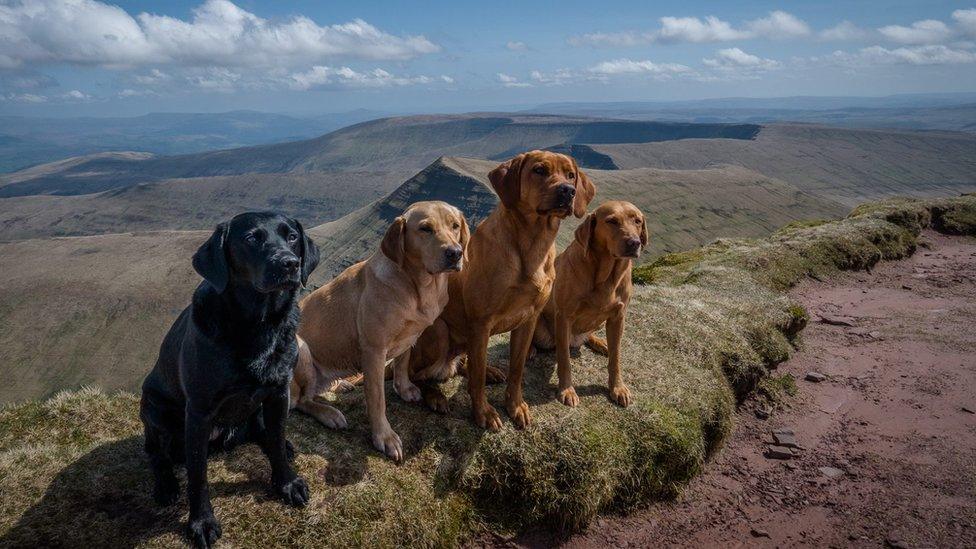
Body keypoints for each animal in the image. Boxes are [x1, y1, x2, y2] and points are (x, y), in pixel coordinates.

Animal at [140, 211, 320, 548]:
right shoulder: (199, 413)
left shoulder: (279, 392)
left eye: (291, 237)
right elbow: (197, 475)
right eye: (251, 238)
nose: (289, 263)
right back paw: (166, 485)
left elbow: (276, 442)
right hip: (154, 409)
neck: (259, 325)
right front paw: (201, 522)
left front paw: (287, 482)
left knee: (265, 432)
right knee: (157, 455)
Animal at [290, 200, 468, 458]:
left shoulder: (409, 336)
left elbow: (403, 364)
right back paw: (329, 414)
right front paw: (384, 437)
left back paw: (339, 384)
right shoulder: (374, 351)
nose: (455, 253)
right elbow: (377, 399)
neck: (417, 287)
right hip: (301, 348)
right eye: (425, 229)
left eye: (455, 226)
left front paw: (404, 388)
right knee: (301, 401)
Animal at [406, 152, 596, 430]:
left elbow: (516, 369)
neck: (532, 245)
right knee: (415, 375)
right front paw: (483, 413)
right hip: (439, 331)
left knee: (464, 364)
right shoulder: (480, 323)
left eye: (571, 175)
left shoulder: (528, 320)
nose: (568, 191)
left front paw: (515, 405)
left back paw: (489, 371)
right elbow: (476, 382)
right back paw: (434, 396)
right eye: (539, 170)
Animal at [528, 201, 644, 406]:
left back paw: (600, 342)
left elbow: (616, 358)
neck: (606, 276)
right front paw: (566, 390)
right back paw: (530, 350)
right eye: (611, 221)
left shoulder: (618, 317)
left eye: (637, 221)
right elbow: (564, 359)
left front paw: (618, 387)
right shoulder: (564, 316)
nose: (634, 243)